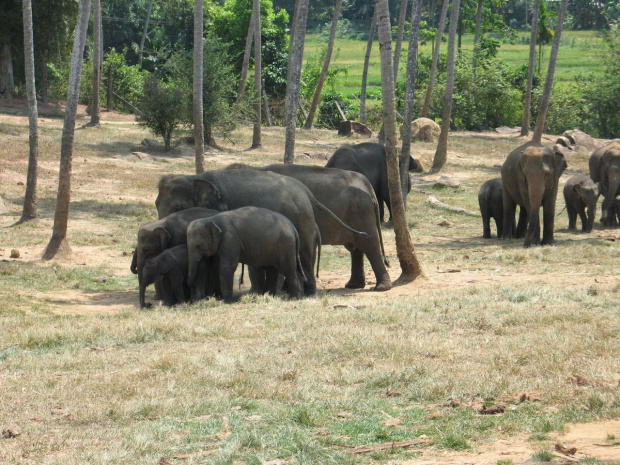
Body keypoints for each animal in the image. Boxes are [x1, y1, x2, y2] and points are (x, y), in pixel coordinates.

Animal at [156, 169, 368, 296]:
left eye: (178, 207)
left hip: (300, 220)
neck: (197, 176)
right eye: (156, 204)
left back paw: (305, 293)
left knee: (304, 255)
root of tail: (308, 194)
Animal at [226, 163, 392, 290]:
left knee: (369, 245)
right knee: (355, 248)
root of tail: (369, 187)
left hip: (361, 212)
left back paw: (381, 287)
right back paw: (353, 285)